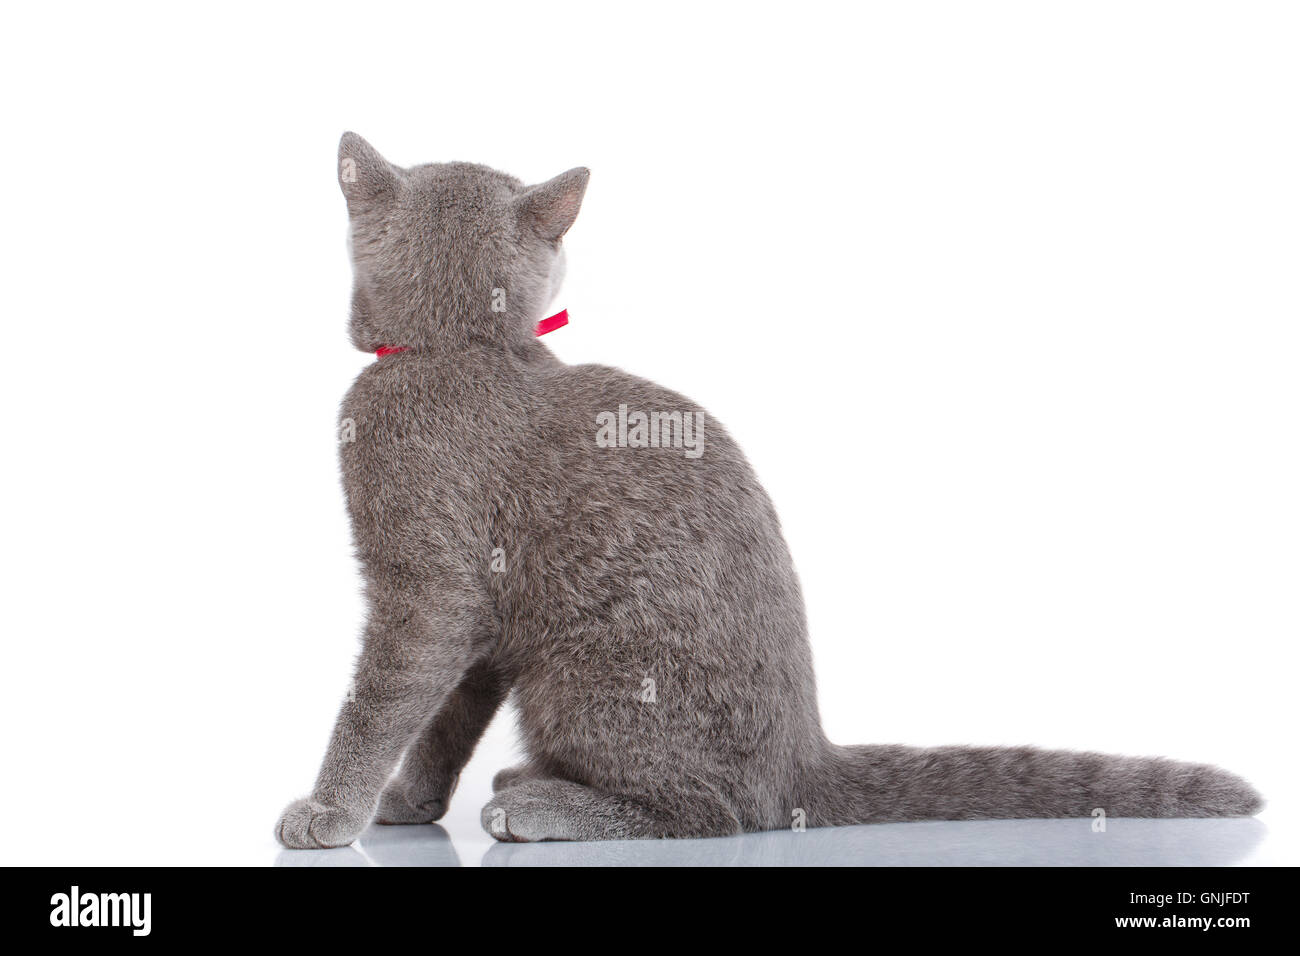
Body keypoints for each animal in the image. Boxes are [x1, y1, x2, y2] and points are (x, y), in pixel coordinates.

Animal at [274, 132, 1258, 842]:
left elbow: (381, 700)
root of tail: (802, 760)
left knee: (715, 812)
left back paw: (544, 805)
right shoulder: (482, 618)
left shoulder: (429, 593)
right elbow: (444, 716)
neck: (462, 350)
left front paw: (328, 811)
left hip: (587, 675)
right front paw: (408, 800)